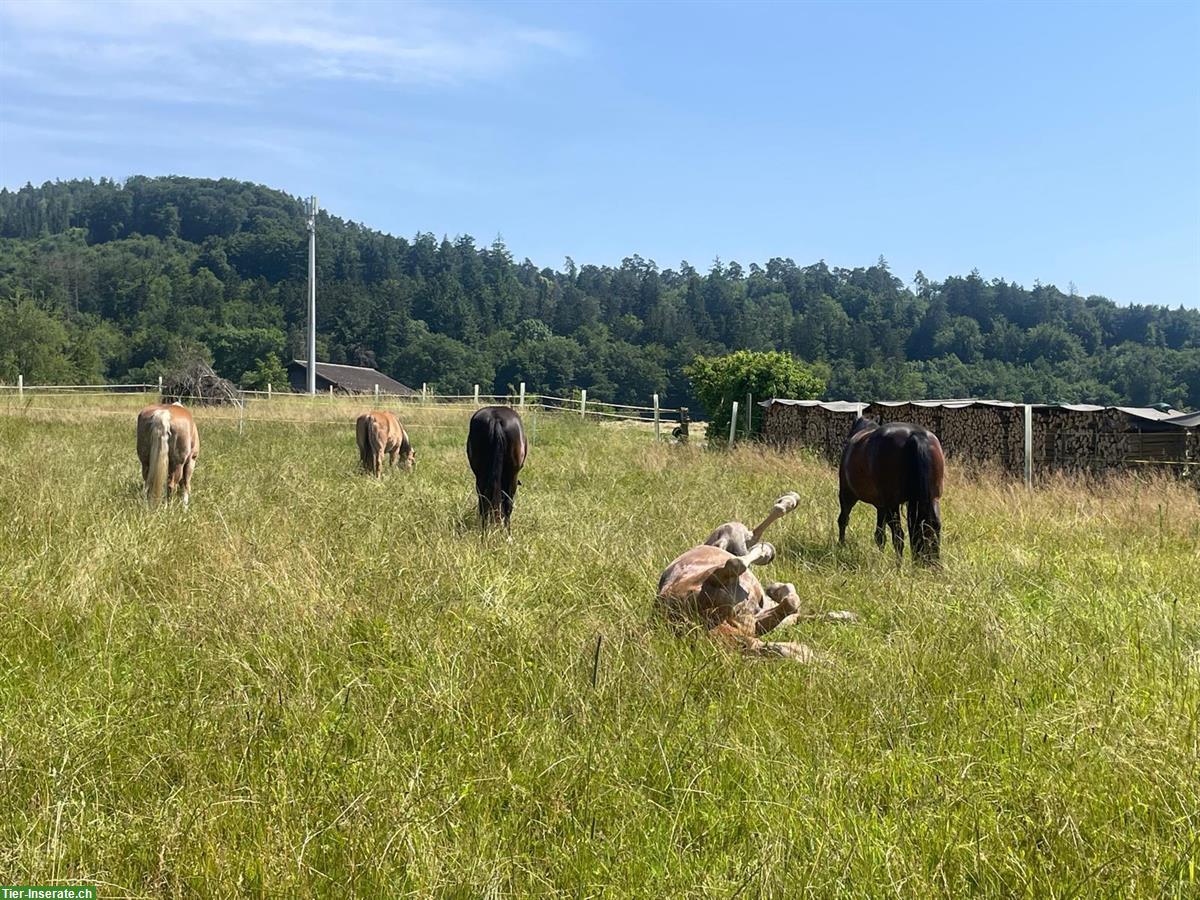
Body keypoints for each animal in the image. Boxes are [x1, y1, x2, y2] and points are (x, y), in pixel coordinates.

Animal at [840, 417, 940, 564]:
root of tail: (916, 434)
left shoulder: (847, 495)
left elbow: (843, 520)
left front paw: (840, 546)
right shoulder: (881, 506)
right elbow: (880, 535)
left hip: (890, 505)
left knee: (898, 536)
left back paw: (899, 566)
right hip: (932, 500)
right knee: (934, 527)